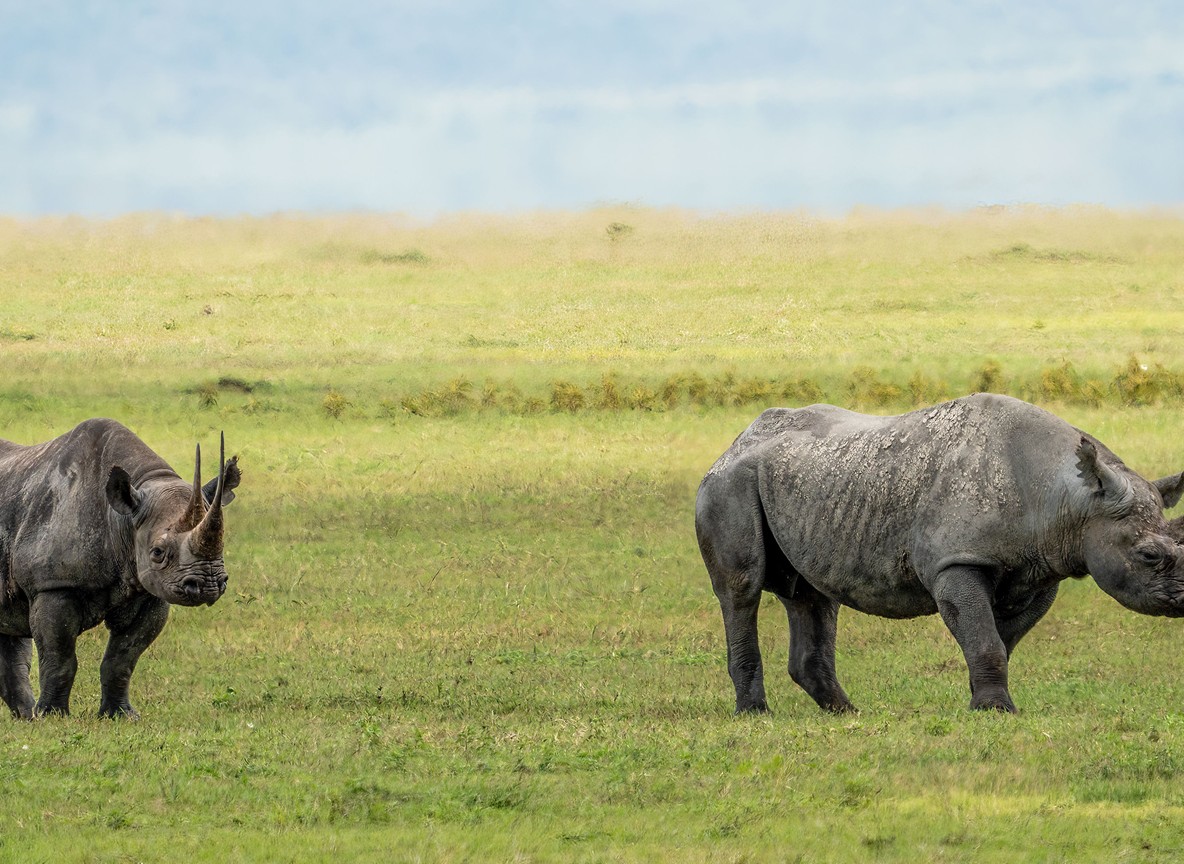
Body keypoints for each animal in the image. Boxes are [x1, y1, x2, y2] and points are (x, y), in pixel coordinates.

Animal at [0, 419, 240, 718]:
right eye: (157, 553)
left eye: (223, 547)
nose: (207, 585)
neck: (123, 520)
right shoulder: (53, 584)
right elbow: (59, 657)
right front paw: (53, 717)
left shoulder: (149, 590)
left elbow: (122, 659)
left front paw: (121, 716)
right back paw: (33, 716)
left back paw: (25, 717)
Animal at [695, 393, 1184, 714]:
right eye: (1148, 556)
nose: (1183, 601)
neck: (1070, 500)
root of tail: (735, 441)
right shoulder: (956, 562)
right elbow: (985, 638)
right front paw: (997, 712)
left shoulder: (1041, 569)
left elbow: (1000, 642)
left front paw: (981, 705)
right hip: (728, 484)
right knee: (742, 590)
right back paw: (756, 714)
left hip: (808, 486)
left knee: (811, 594)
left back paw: (846, 714)